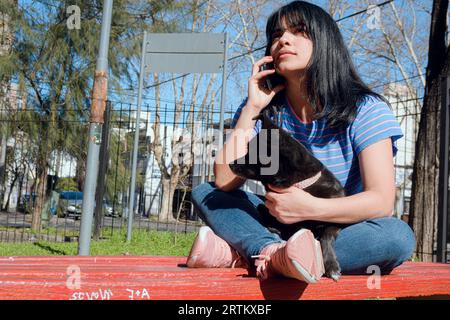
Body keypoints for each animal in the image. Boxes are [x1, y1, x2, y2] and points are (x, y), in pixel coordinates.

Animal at [230, 106, 346, 282]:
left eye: (252, 156)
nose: (230, 164)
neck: (301, 186)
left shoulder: (335, 218)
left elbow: (326, 235)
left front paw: (331, 266)